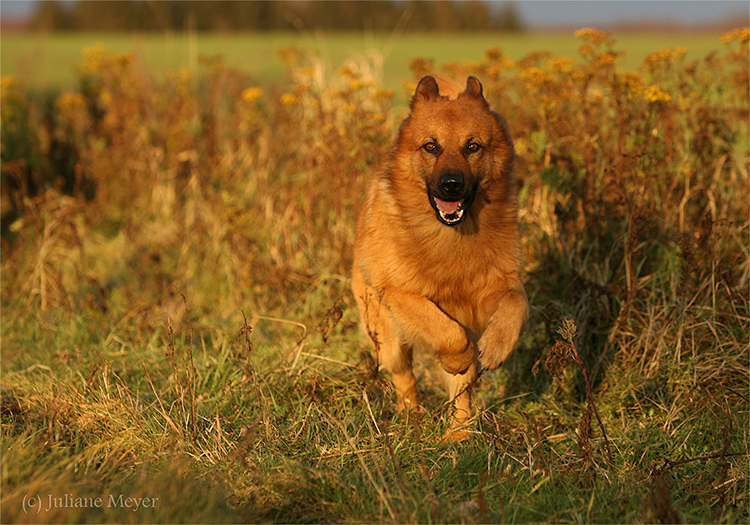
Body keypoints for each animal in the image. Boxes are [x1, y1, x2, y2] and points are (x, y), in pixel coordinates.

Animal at [352, 75, 528, 440]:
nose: (450, 185)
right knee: (405, 377)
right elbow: (449, 335)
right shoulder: (400, 293)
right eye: (430, 147)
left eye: (473, 147)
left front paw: (496, 347)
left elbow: (516, 304)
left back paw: (459, 432)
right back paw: (411, 416)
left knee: (461, 394)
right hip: (388, 337)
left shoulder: (496, 287)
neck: (450, 238)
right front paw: (458, 359)